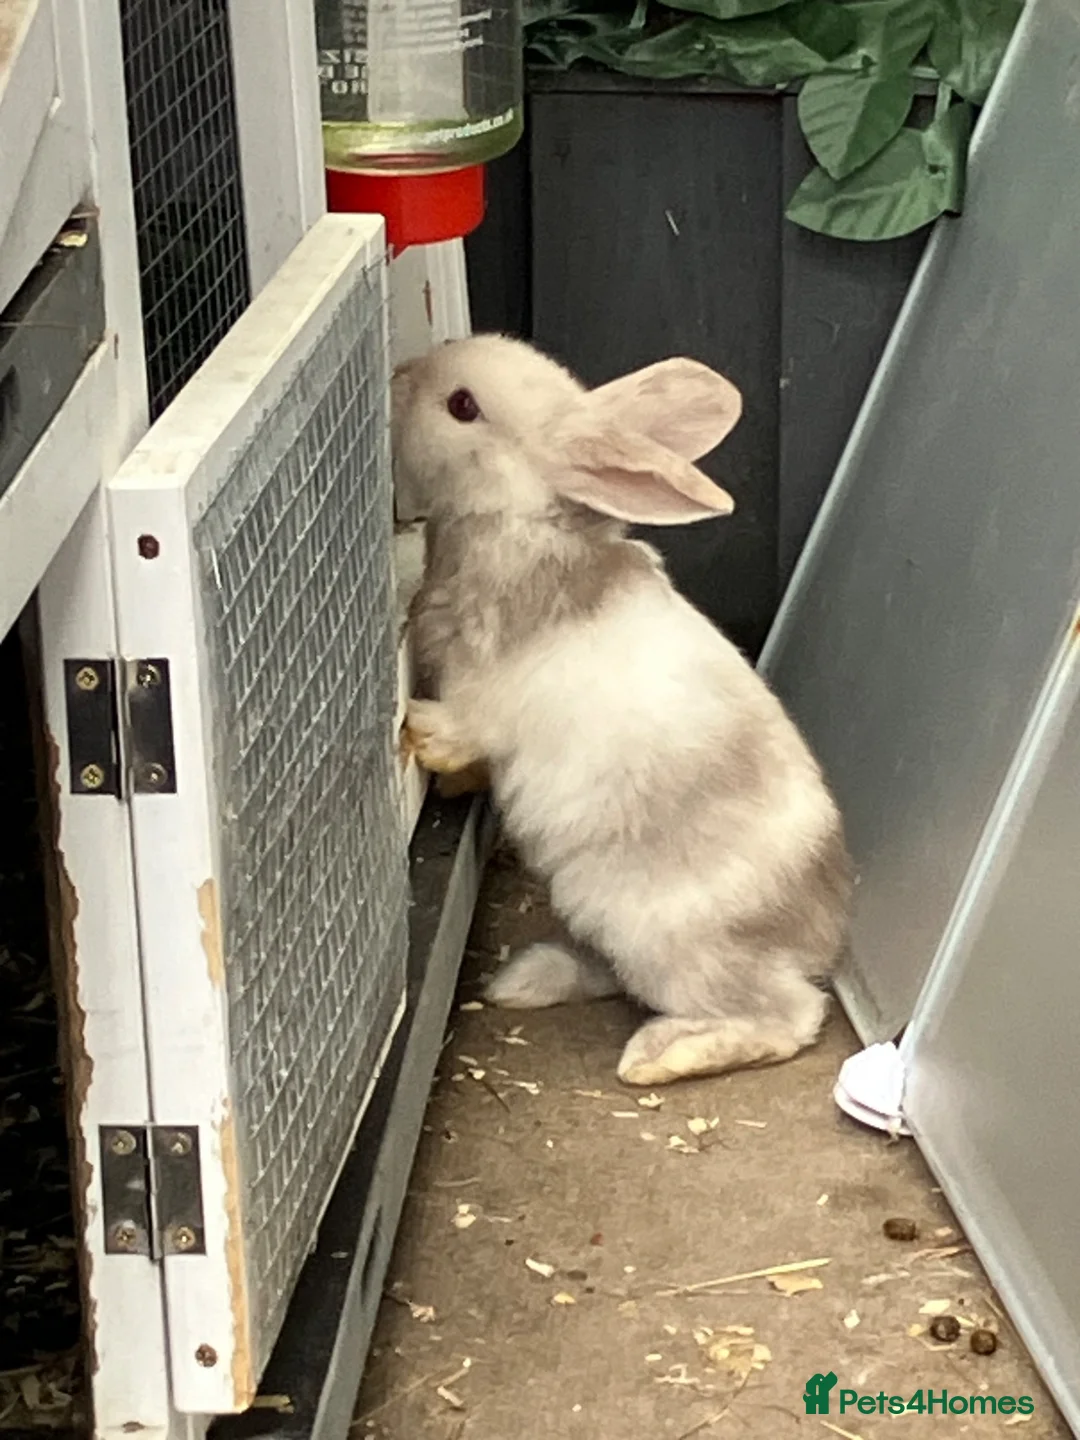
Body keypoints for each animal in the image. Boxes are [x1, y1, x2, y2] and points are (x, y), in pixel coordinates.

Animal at [394, 334, 852, 1086]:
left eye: (462, 406)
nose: (399, 375)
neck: (516, 524)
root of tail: (819, 936)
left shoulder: (492, 703)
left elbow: (468, 728)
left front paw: (420, 731)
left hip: (665, 940)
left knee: (785, 1017)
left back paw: (661, 1056)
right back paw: (530, 979)